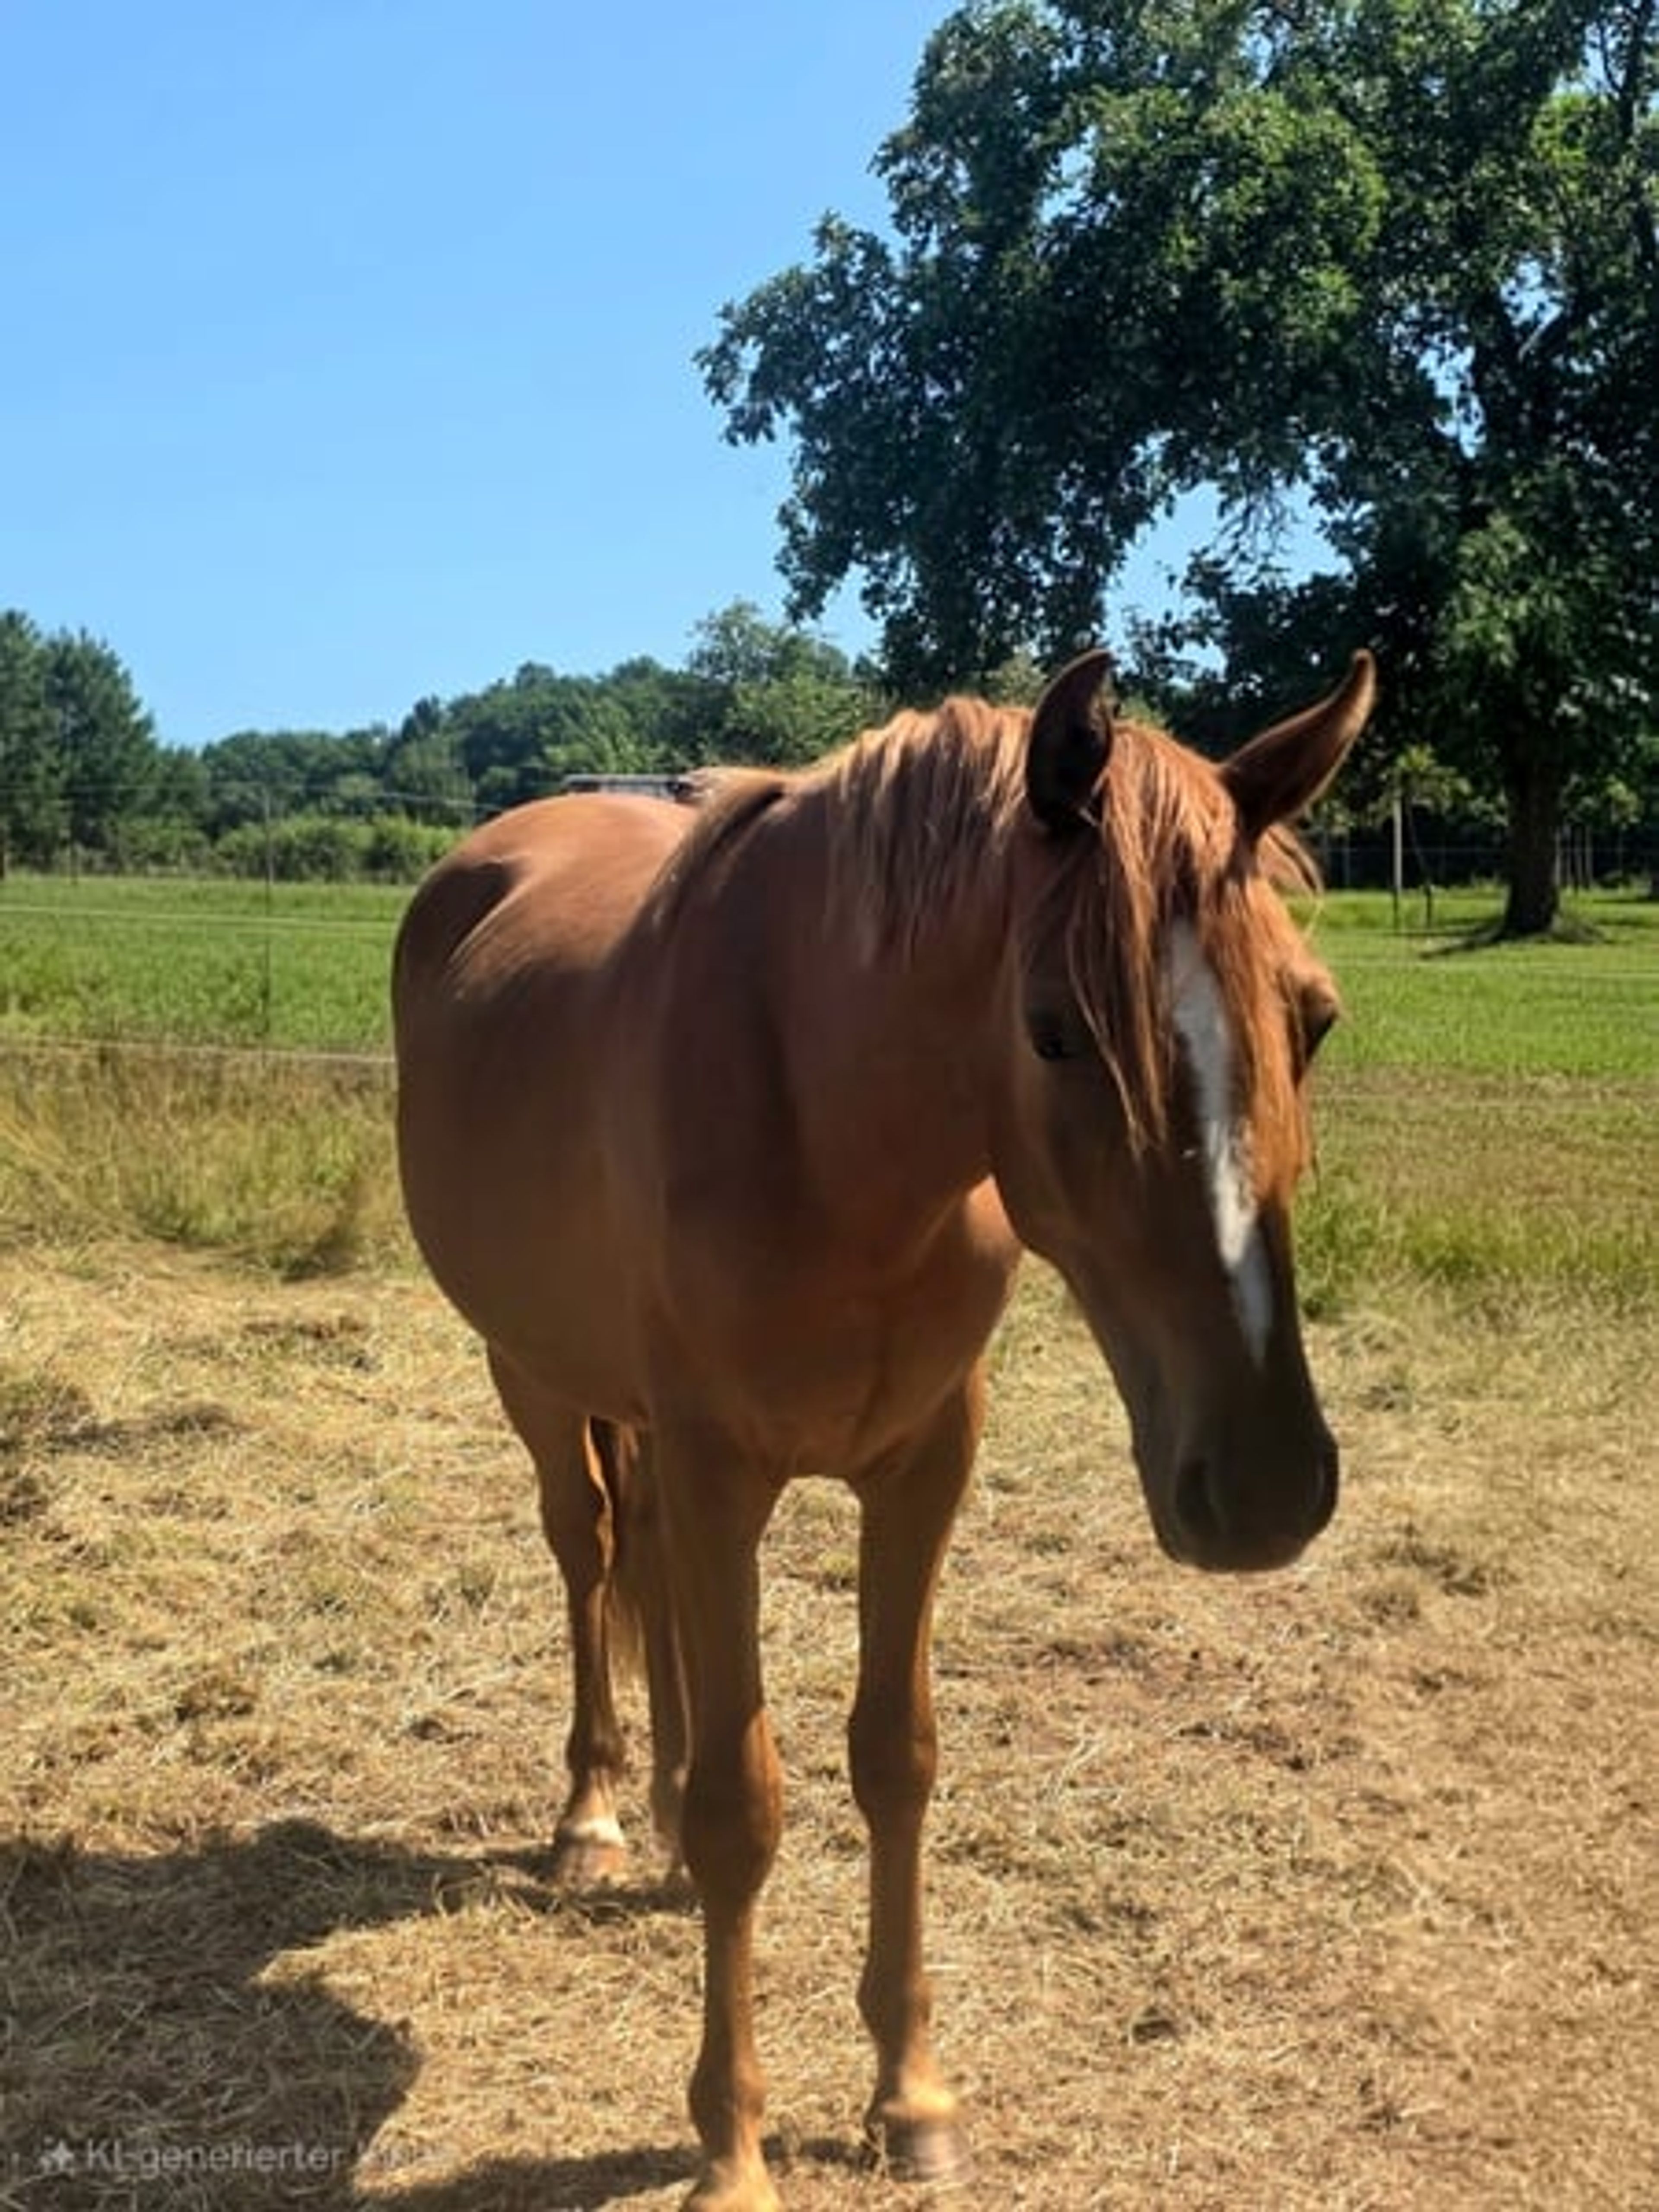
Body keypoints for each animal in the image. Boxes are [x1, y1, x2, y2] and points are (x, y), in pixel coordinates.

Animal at [391, 646, 1375, 2212]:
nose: (1269, 1486)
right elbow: (746, 1805)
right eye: (1053, 1030)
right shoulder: (723, 1466)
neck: (826, 1130)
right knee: (591, 1554)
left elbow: (893, 1760)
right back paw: (597, 1819)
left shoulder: (922, 1467)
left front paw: (911, 2097)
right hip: (535, 1377)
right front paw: (731, 2151)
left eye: (1315, 1019)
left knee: (646, 1569)